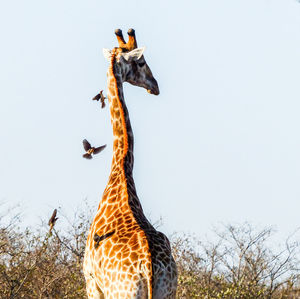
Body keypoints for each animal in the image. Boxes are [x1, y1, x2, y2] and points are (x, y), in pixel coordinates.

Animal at [82, 28, 177, 299]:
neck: (120, 173)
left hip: (122, 292)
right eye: (142, 62)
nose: (155, 86)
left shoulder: (92, 282)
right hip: (168, 291)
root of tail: (149, 268)